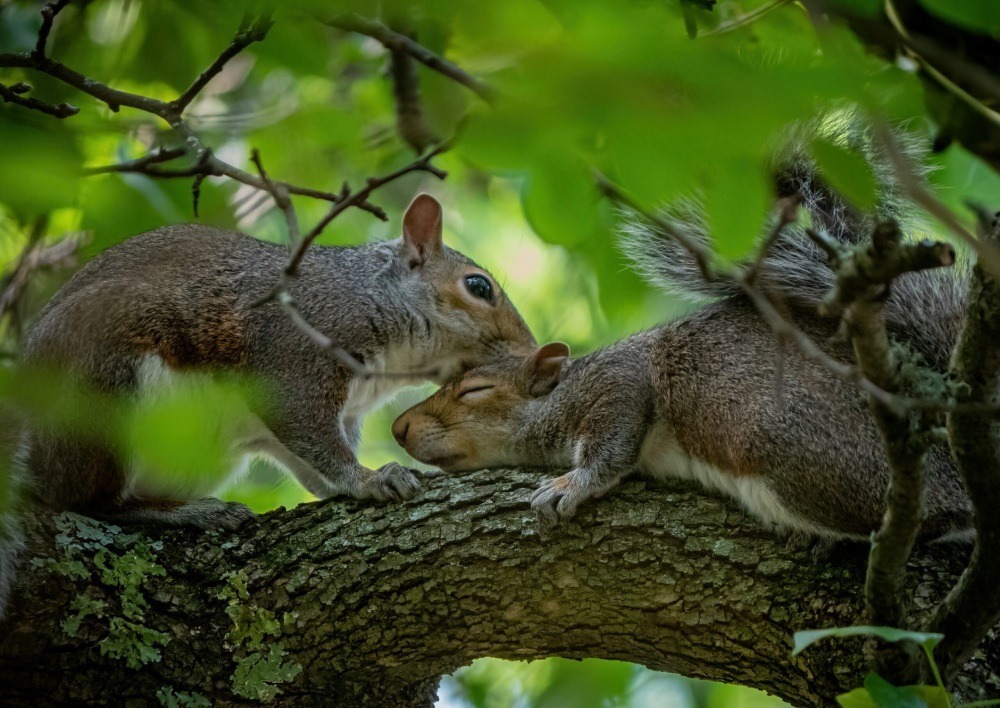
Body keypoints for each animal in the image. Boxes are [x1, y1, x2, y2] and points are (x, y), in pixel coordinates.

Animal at [392, 167, 976, 544]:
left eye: (475, 389)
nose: (399, 428)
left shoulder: (618, 383)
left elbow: (611, 443)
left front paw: (570, 485)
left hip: (796, 452)